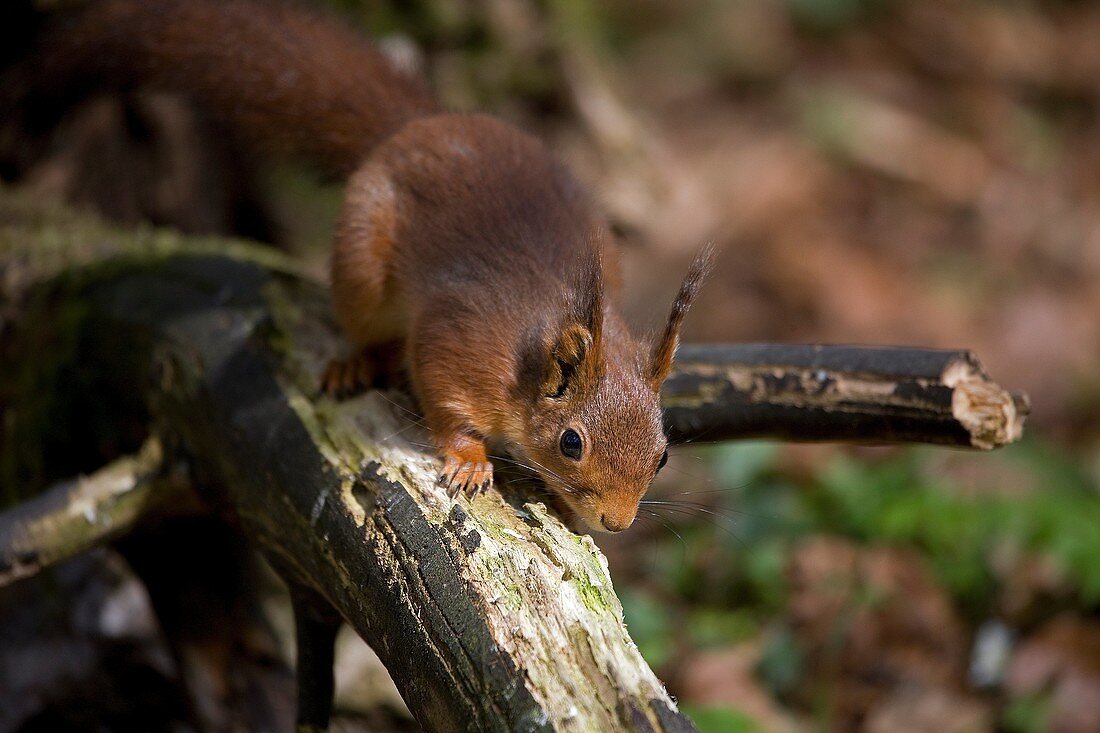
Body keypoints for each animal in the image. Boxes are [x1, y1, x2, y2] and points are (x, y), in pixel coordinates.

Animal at [23, 0, 712, 530]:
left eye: (662, 455)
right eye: (572, 443)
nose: (616, 523)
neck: (530, 356)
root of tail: (423, 128)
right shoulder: (459, 341)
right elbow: (442, 397)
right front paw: (469, 460)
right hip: (360, 265)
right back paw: (359, 361)